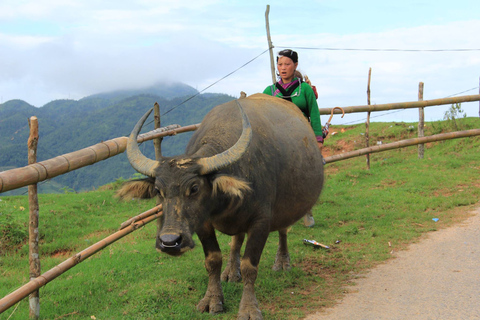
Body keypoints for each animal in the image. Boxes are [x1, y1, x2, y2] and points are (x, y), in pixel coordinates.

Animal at [118, 94, 324, 318]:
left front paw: (249, 308)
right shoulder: (202, 223)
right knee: (236, 241)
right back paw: (232, 272)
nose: (170, 242)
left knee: (283, 231)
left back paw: (282, 262)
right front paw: (212, 300)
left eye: (195, 188)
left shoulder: (261, 221)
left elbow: (250, 265)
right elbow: (213, 260)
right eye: (158, 190)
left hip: (286, 208)